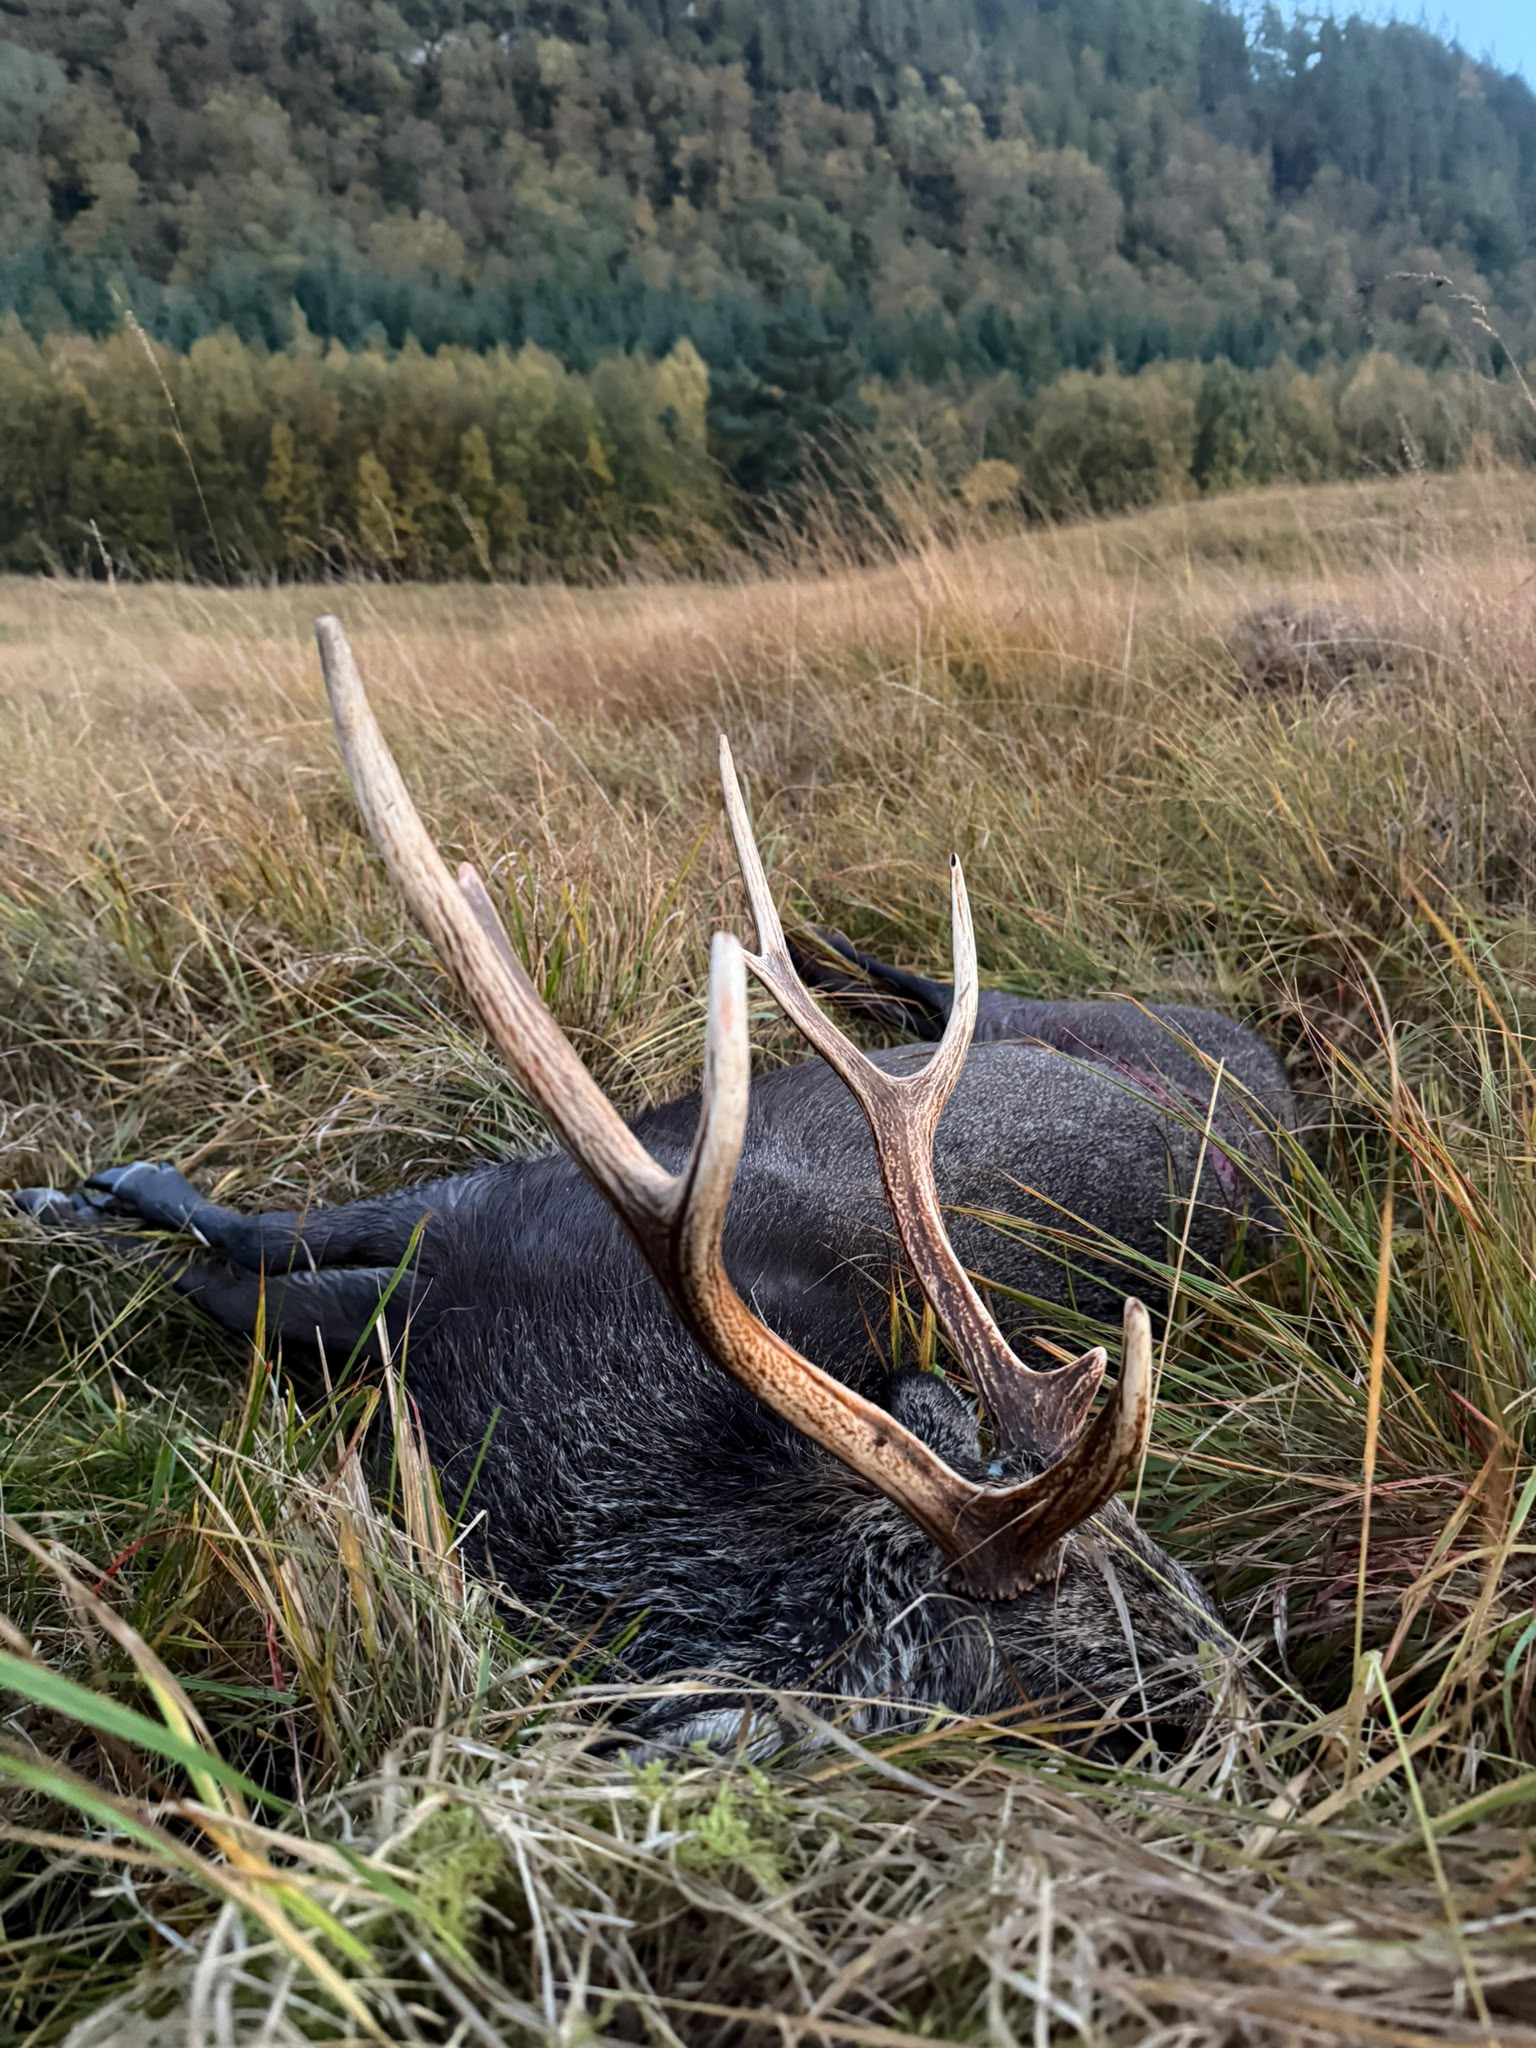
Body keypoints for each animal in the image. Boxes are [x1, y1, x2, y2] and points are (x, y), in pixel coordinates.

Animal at [12, 619, 1299, 1758]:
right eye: (1143, 1684)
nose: (1255, 1695)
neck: (547, 1391)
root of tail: (1280, 1081)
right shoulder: (497, 1199)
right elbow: (259, 1229)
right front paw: (88, 1192)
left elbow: (225, 1284)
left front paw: (105, 1217)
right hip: (1070, 1007)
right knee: (938, 987)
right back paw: (824, 952)